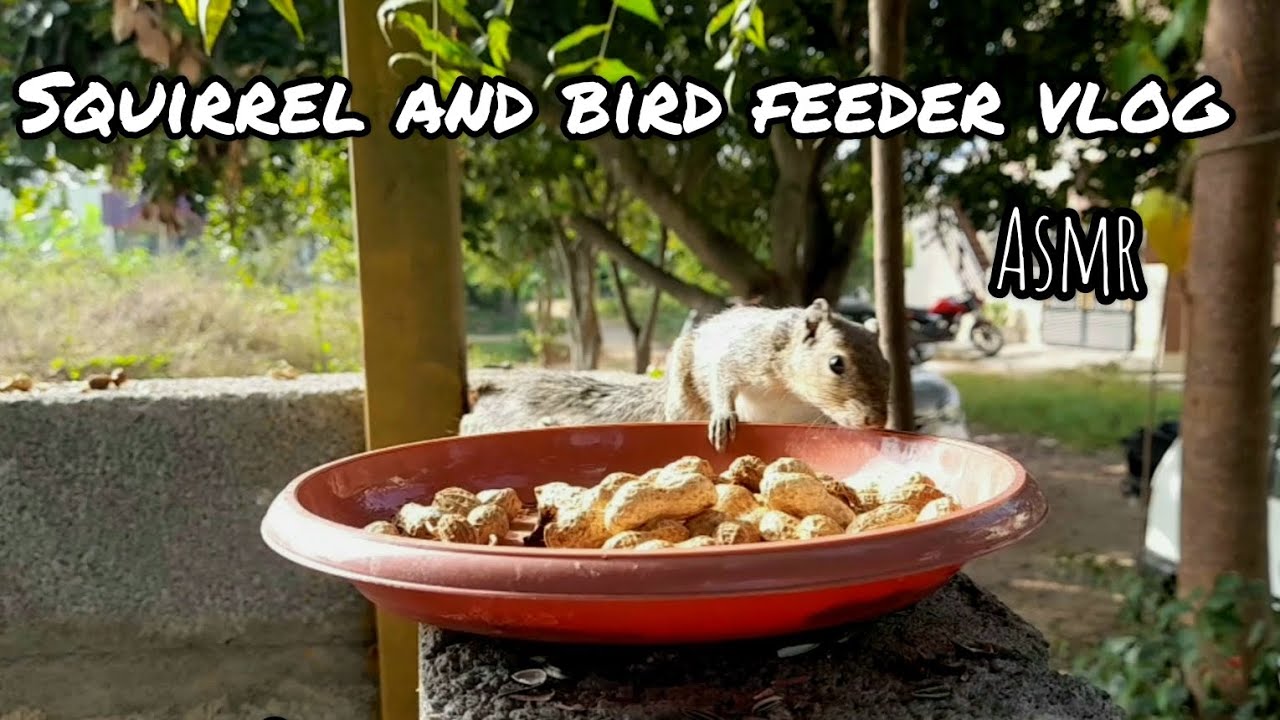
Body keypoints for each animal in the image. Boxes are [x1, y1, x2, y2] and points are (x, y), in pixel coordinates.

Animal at [461, 299, 890, 452]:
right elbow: (723, 378)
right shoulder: (748, 353)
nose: (876, 420)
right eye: (836, 363)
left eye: (887, 365)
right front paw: (724, 418)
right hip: (683, 394)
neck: (794, 393)